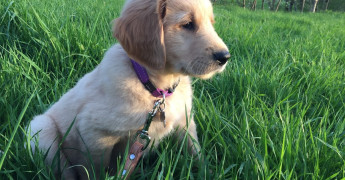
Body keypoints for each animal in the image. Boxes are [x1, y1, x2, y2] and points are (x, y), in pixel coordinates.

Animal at [28, 0, 228, 178]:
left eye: (211, 23)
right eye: (187, 24)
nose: (225, 57)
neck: (154, 87)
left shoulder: (185, 121)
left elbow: (195, 150)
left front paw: (208, 172)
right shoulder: (94, 133)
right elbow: (94, 170)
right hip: (40, 129)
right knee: (65, 171)